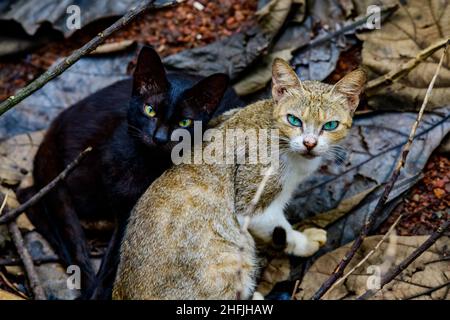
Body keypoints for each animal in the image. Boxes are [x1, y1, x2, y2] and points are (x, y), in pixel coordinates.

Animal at [18, 46, 241, 298]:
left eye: (185, 123)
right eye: (150, 110)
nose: (159, 138)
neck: (145, 164)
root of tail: (56, 124)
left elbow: (115, 264)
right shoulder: (124, 209)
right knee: (32, 195)